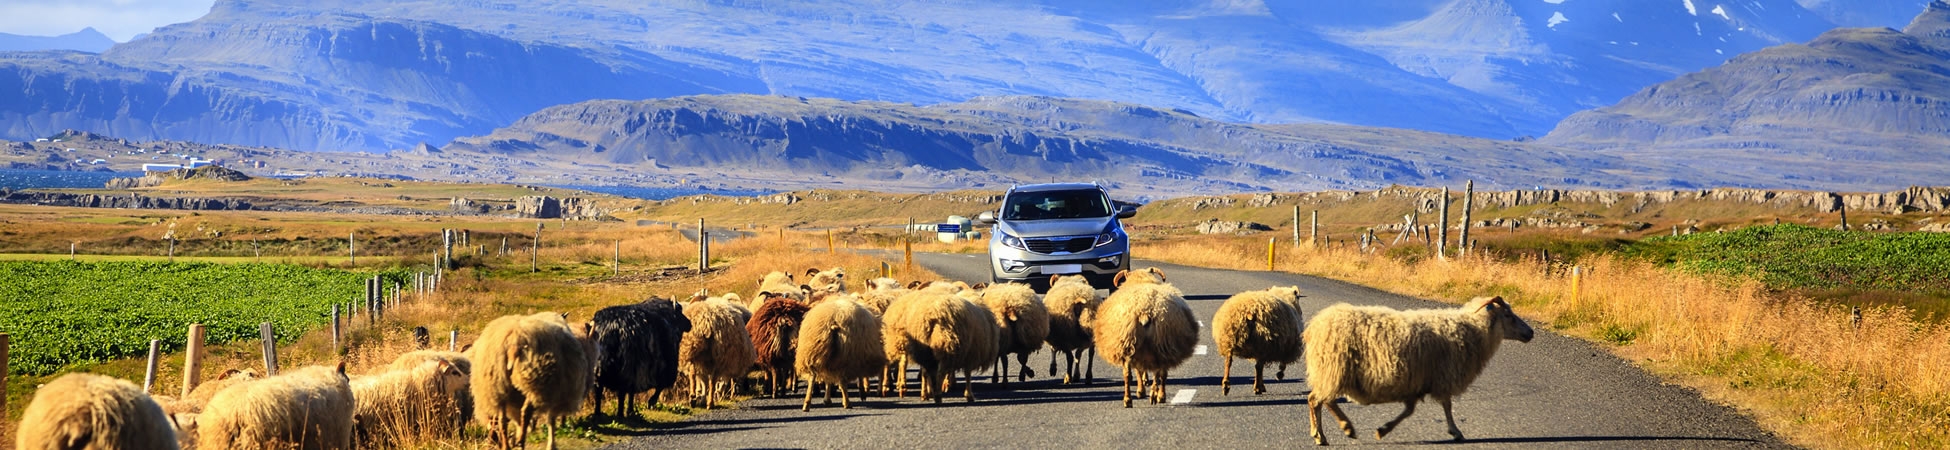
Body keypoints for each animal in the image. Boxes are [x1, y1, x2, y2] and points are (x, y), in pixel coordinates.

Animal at [1099, 266, 1201, 407]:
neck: (1140, 280)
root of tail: (1145, 311)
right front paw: (1148, 389)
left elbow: (1139, 371)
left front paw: (1141, 390)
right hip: (1161, 344)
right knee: (1160, 372)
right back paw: (1157, 395)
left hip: (1130, 344)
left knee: (1128, 373)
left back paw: (1129, 399)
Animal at [1310, 296, 1536, 444]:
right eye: (1508, 314)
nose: (1531, 332)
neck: (1472, 329)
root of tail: (1318, 323)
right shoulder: (1443, 376)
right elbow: (1447, 406)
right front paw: (1456, 431)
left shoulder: (1417, 383)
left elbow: (1409, 411)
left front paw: (1383, 430)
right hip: (1334, 369)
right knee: (1320, 400)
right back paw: (1339, 430)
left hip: (1330, 371)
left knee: (1318, 400)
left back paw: (1321, 434)